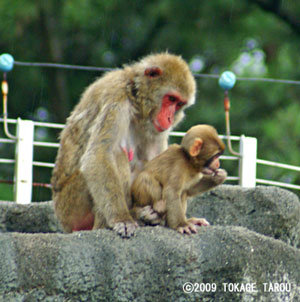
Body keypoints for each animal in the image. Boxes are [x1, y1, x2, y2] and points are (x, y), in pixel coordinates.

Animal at [51, 53, 197, 238]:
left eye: (179, 104)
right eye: (170, 99)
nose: (170, 118)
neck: (134, 96)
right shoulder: (116, 98)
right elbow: (98, 154)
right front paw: (122, 219)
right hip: (71, 207)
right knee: (117, 154)